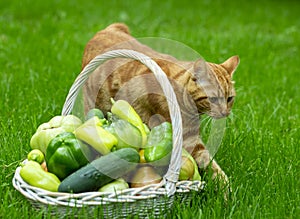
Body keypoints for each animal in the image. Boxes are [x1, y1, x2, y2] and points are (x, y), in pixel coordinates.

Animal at [81, 23, 239, 185]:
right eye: (213, 99)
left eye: (229, 98)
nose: (225, 112)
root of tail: (106, 29)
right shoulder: (187, 139)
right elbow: (210, 164)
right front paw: (226, 188)